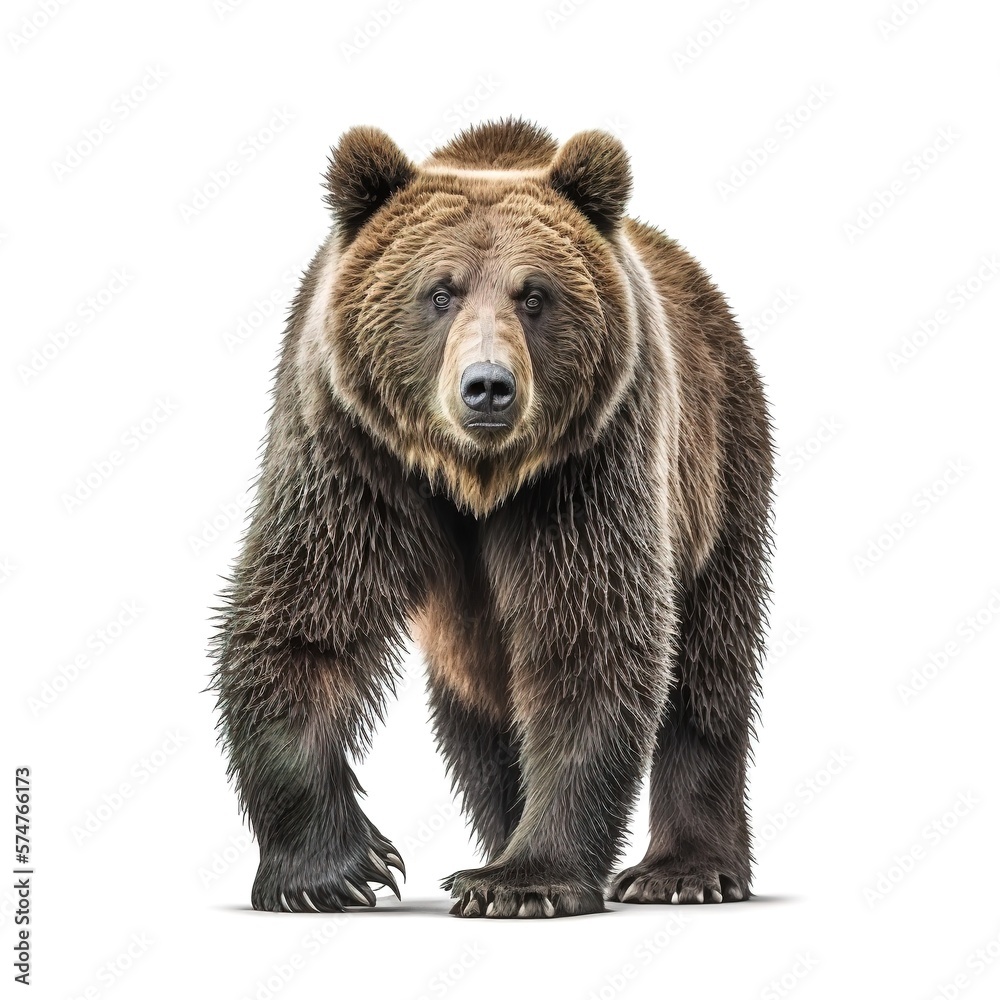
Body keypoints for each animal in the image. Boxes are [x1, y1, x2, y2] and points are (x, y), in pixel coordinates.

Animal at [209, 117, 774, 918]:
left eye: (535, 295)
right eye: (440, 291)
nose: (487, 386)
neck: (478, 476)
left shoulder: (592, 459)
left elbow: (590, 637)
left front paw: (524, 880)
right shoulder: (349, 445)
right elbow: (304, 618)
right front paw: (336, 870)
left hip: (720, 462)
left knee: (708, 670)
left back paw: (684, 870)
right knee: (478, 703)